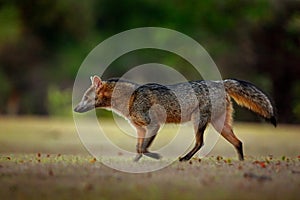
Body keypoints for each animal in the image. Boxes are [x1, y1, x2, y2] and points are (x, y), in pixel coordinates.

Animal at [74, 76, 276, 162]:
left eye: (85, 97)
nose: (75, 109)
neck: (130, 98)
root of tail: (220, 82)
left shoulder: (154, 125)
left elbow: (144, 147)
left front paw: (155, 156)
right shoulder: (140, 129)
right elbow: (138, 148)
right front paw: (135, 162)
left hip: (198, 122)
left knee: (200, 143)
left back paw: (185, 158)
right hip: (221, 126)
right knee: (238, 142)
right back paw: (241, 163)